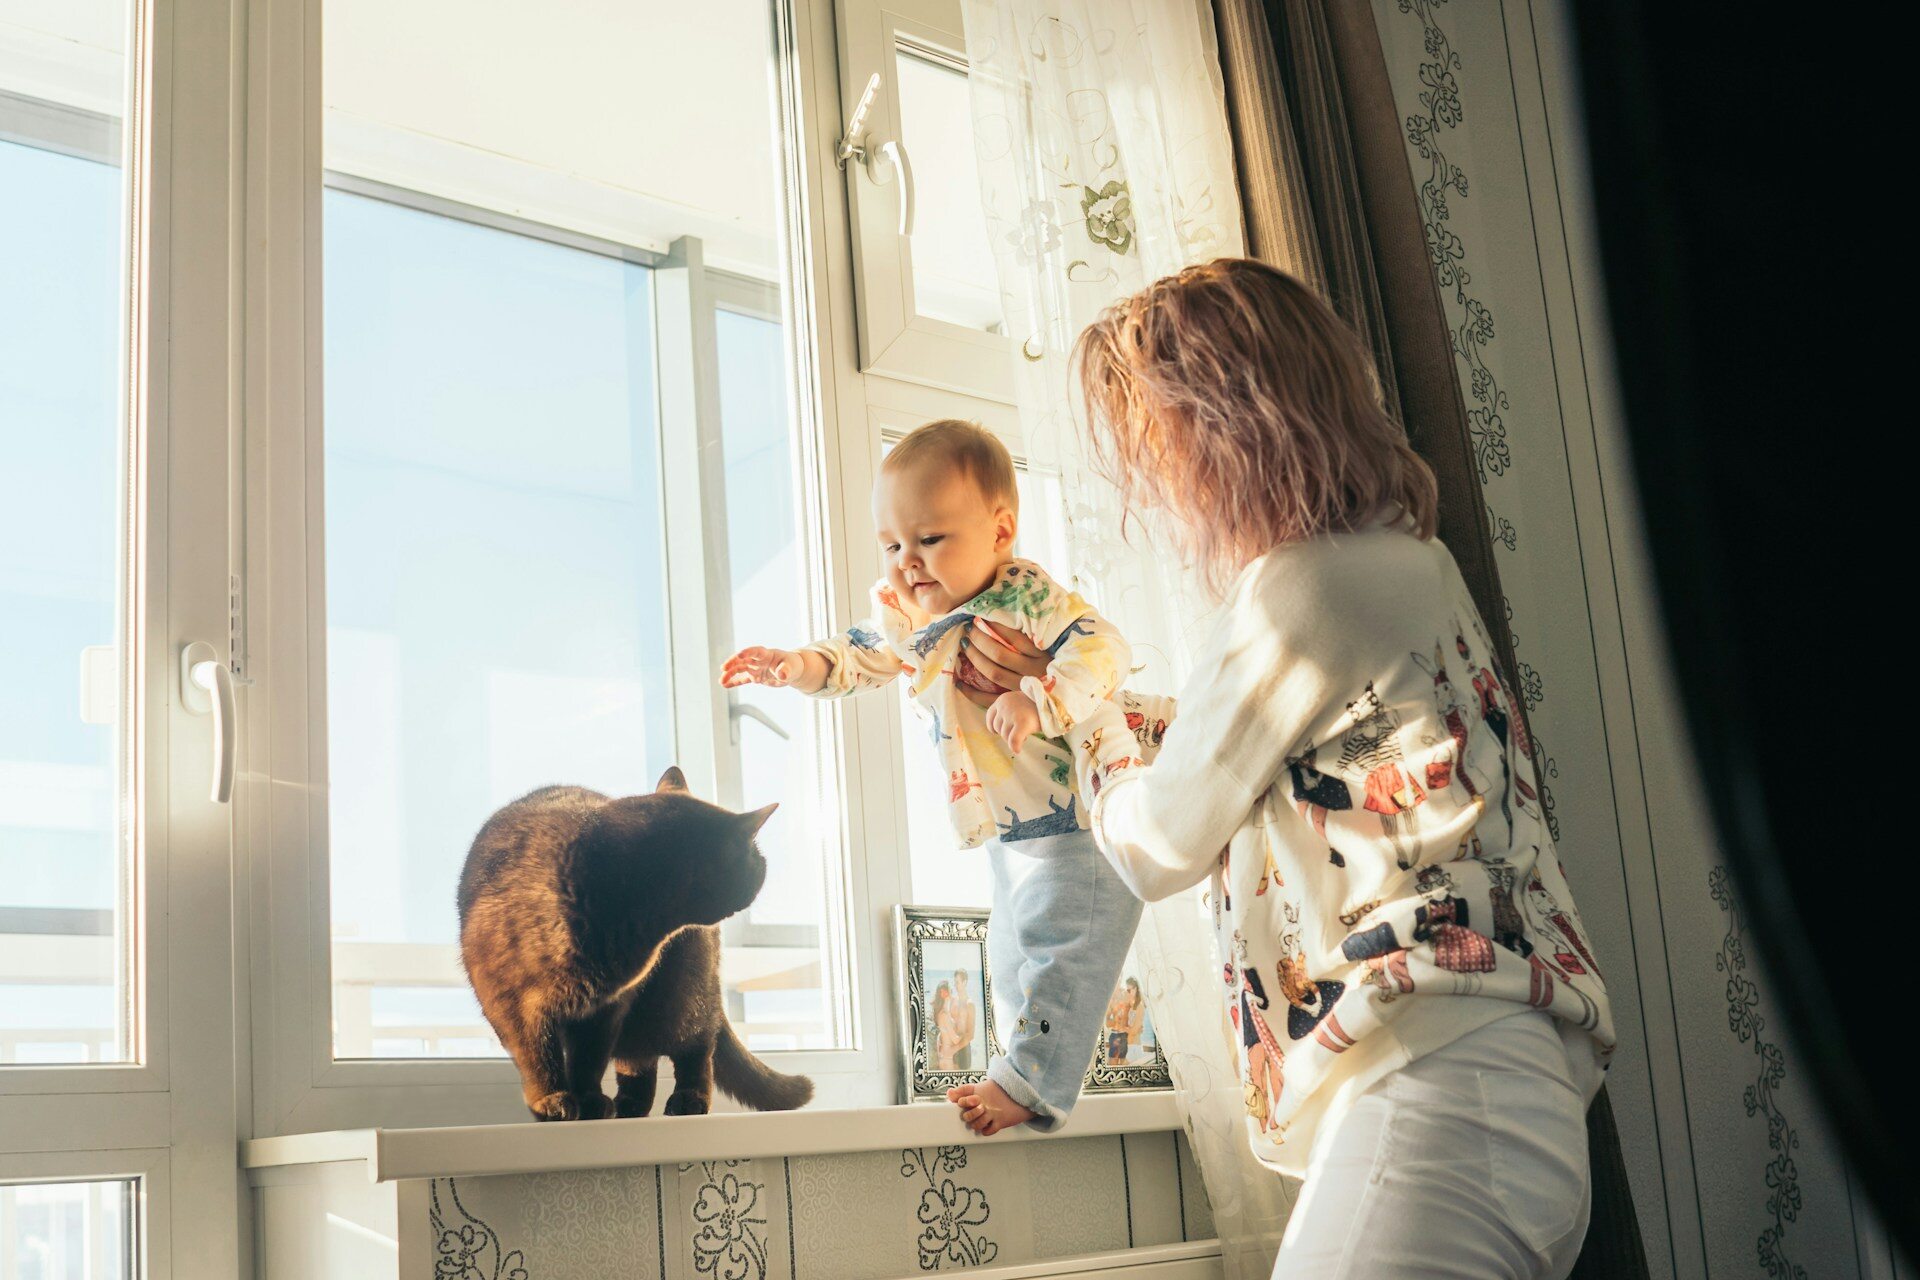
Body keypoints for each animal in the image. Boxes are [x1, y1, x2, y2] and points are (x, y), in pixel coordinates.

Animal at [460, 771, 814, 1120]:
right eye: (757, 860)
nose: (764, 866)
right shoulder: (513, 1004)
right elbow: (538, 1057)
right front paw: (552, 1100)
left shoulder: (607, 1007)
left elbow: (589, 1060)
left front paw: (587, 1099)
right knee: (641, 1060)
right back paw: (629, 1106)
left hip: (680, 997)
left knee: (695, 1046)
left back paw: (685, 1100)